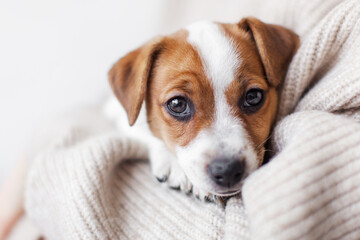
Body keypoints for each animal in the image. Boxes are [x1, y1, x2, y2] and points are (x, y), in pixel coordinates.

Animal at [108, 17, 300, 201]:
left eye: (253, 96)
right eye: (177, 104)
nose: (227, 170)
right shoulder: (116, 111)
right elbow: (143, 129)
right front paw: (173, 163)